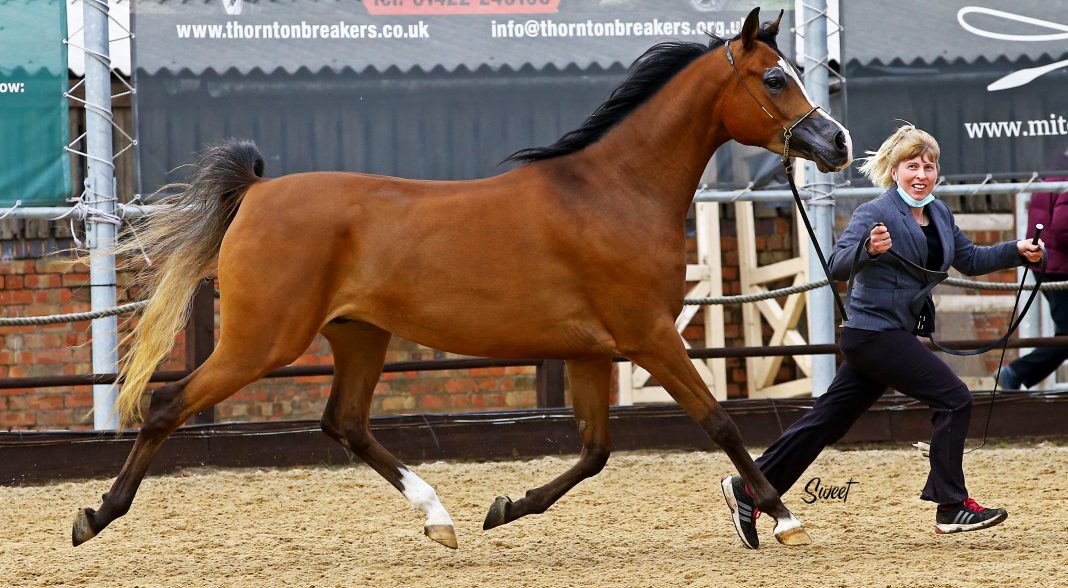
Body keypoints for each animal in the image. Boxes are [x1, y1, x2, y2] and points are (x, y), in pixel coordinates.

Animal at [71, 8, 850, 550]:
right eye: (775, 77)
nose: (836, 142)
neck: (611, 191)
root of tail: (258, 193)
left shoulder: (592, 350)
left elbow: (595, 451)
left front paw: (504, 509)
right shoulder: (650, 336)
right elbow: (718, 421)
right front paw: (781, 519)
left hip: (359, 335)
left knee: (344, 423)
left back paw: (439, 519)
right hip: (263, 340)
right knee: (169, 405)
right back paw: (94, 517)